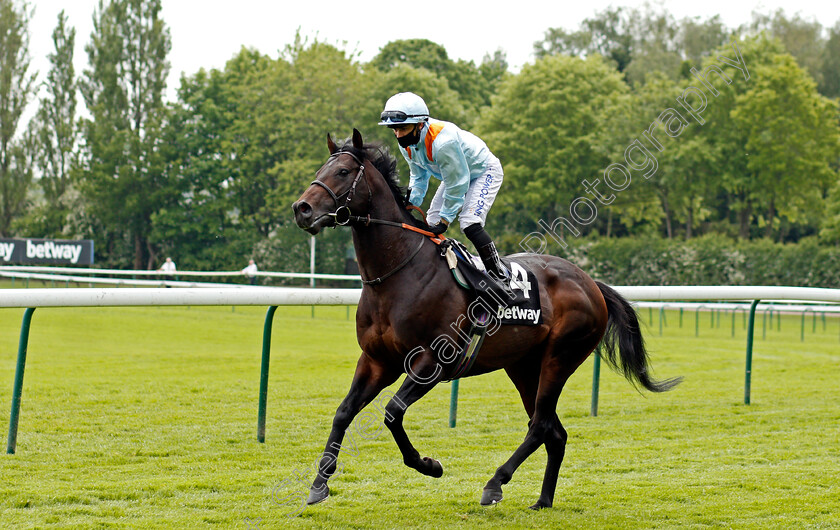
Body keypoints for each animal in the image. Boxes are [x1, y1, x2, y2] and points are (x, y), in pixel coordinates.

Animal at [292, 128, 680, 508]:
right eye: (320, 170)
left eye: (343, 172)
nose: (302, 209)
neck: (398, 274)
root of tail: (591, 283)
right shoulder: (377, 360)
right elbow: (344, 412)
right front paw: (319, 484)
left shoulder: (432, 362)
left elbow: (392, 412)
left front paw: (429, 465)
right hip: (523, 367)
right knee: (554, 431)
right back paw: (543, 500)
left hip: (560, 358)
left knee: (540, 426)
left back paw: (495, 483)